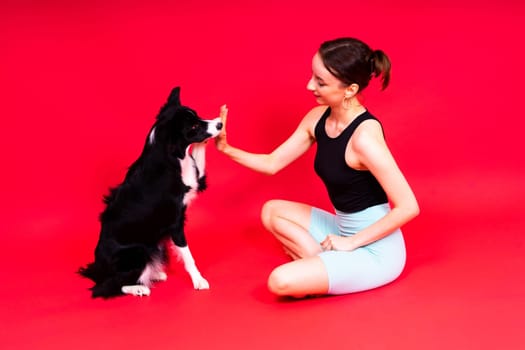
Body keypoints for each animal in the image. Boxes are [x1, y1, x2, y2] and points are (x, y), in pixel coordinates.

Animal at [79, 86, 222, 296]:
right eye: (194, 126)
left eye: (198, 116)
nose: (220, 124)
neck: (169, 154)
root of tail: (96, 270)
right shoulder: (175, 223)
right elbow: (187, 255)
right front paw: (199, 280)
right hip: (138, 251)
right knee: (108, 286)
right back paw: (140, 288)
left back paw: (154, 274)